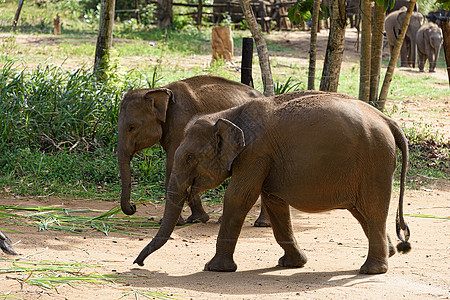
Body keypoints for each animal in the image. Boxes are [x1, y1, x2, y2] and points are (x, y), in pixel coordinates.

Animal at [117, 75, 270, 227]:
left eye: (131, 127)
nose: (133, 207)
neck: (159, 90)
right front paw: (198, 219)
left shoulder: (181, 123)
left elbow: (172, 164)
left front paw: (179, 222)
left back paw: (261, 223)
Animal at [133, 91, 412, 274]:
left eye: (190, 157)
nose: (138, 263)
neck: (227, 115)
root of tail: (388, 121)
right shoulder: (267, 159)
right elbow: (274, 202)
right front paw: (292, 264)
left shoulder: (255, 153)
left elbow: (238, 197)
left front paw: (214, 268)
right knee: (362, 211)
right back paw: (389, 254)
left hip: (375, 162)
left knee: (373, 209)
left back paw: (371, 270)